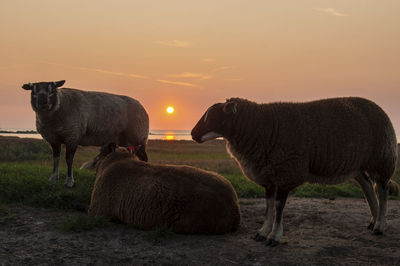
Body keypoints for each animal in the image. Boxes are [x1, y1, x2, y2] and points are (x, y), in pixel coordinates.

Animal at [192, 96, 398, 246]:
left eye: (213, 116)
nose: (193, 134)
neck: (262, 127)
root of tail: (378, 108)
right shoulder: (269, 177)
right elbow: (268, 206)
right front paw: (262, 232)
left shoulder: (286, 173)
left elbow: (278, 206)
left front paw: (274, 237)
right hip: (357, 166)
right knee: (368, 187)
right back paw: (373, 221)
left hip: (382, 159)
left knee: (382, 189)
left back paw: (380, 226)